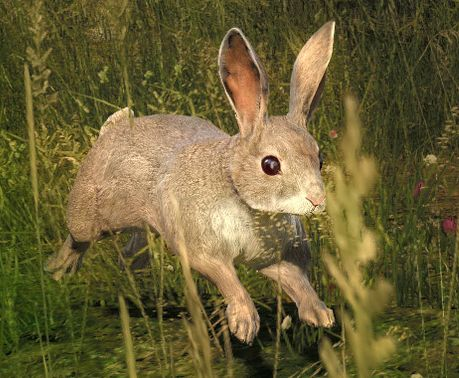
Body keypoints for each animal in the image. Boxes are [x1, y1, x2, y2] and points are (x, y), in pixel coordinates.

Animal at [47, 22, 338, 344]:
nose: (317, 200)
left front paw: (320, 315)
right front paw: (244, 325)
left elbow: (298, 283)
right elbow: (229, 281)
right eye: (270, 165)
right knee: (77, 239)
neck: (237, 188)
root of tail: (111, 130)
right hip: (89, 214)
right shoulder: (204, 250)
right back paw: (59, 271)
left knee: (132, 247)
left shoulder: (277, 258)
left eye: (319, 159)